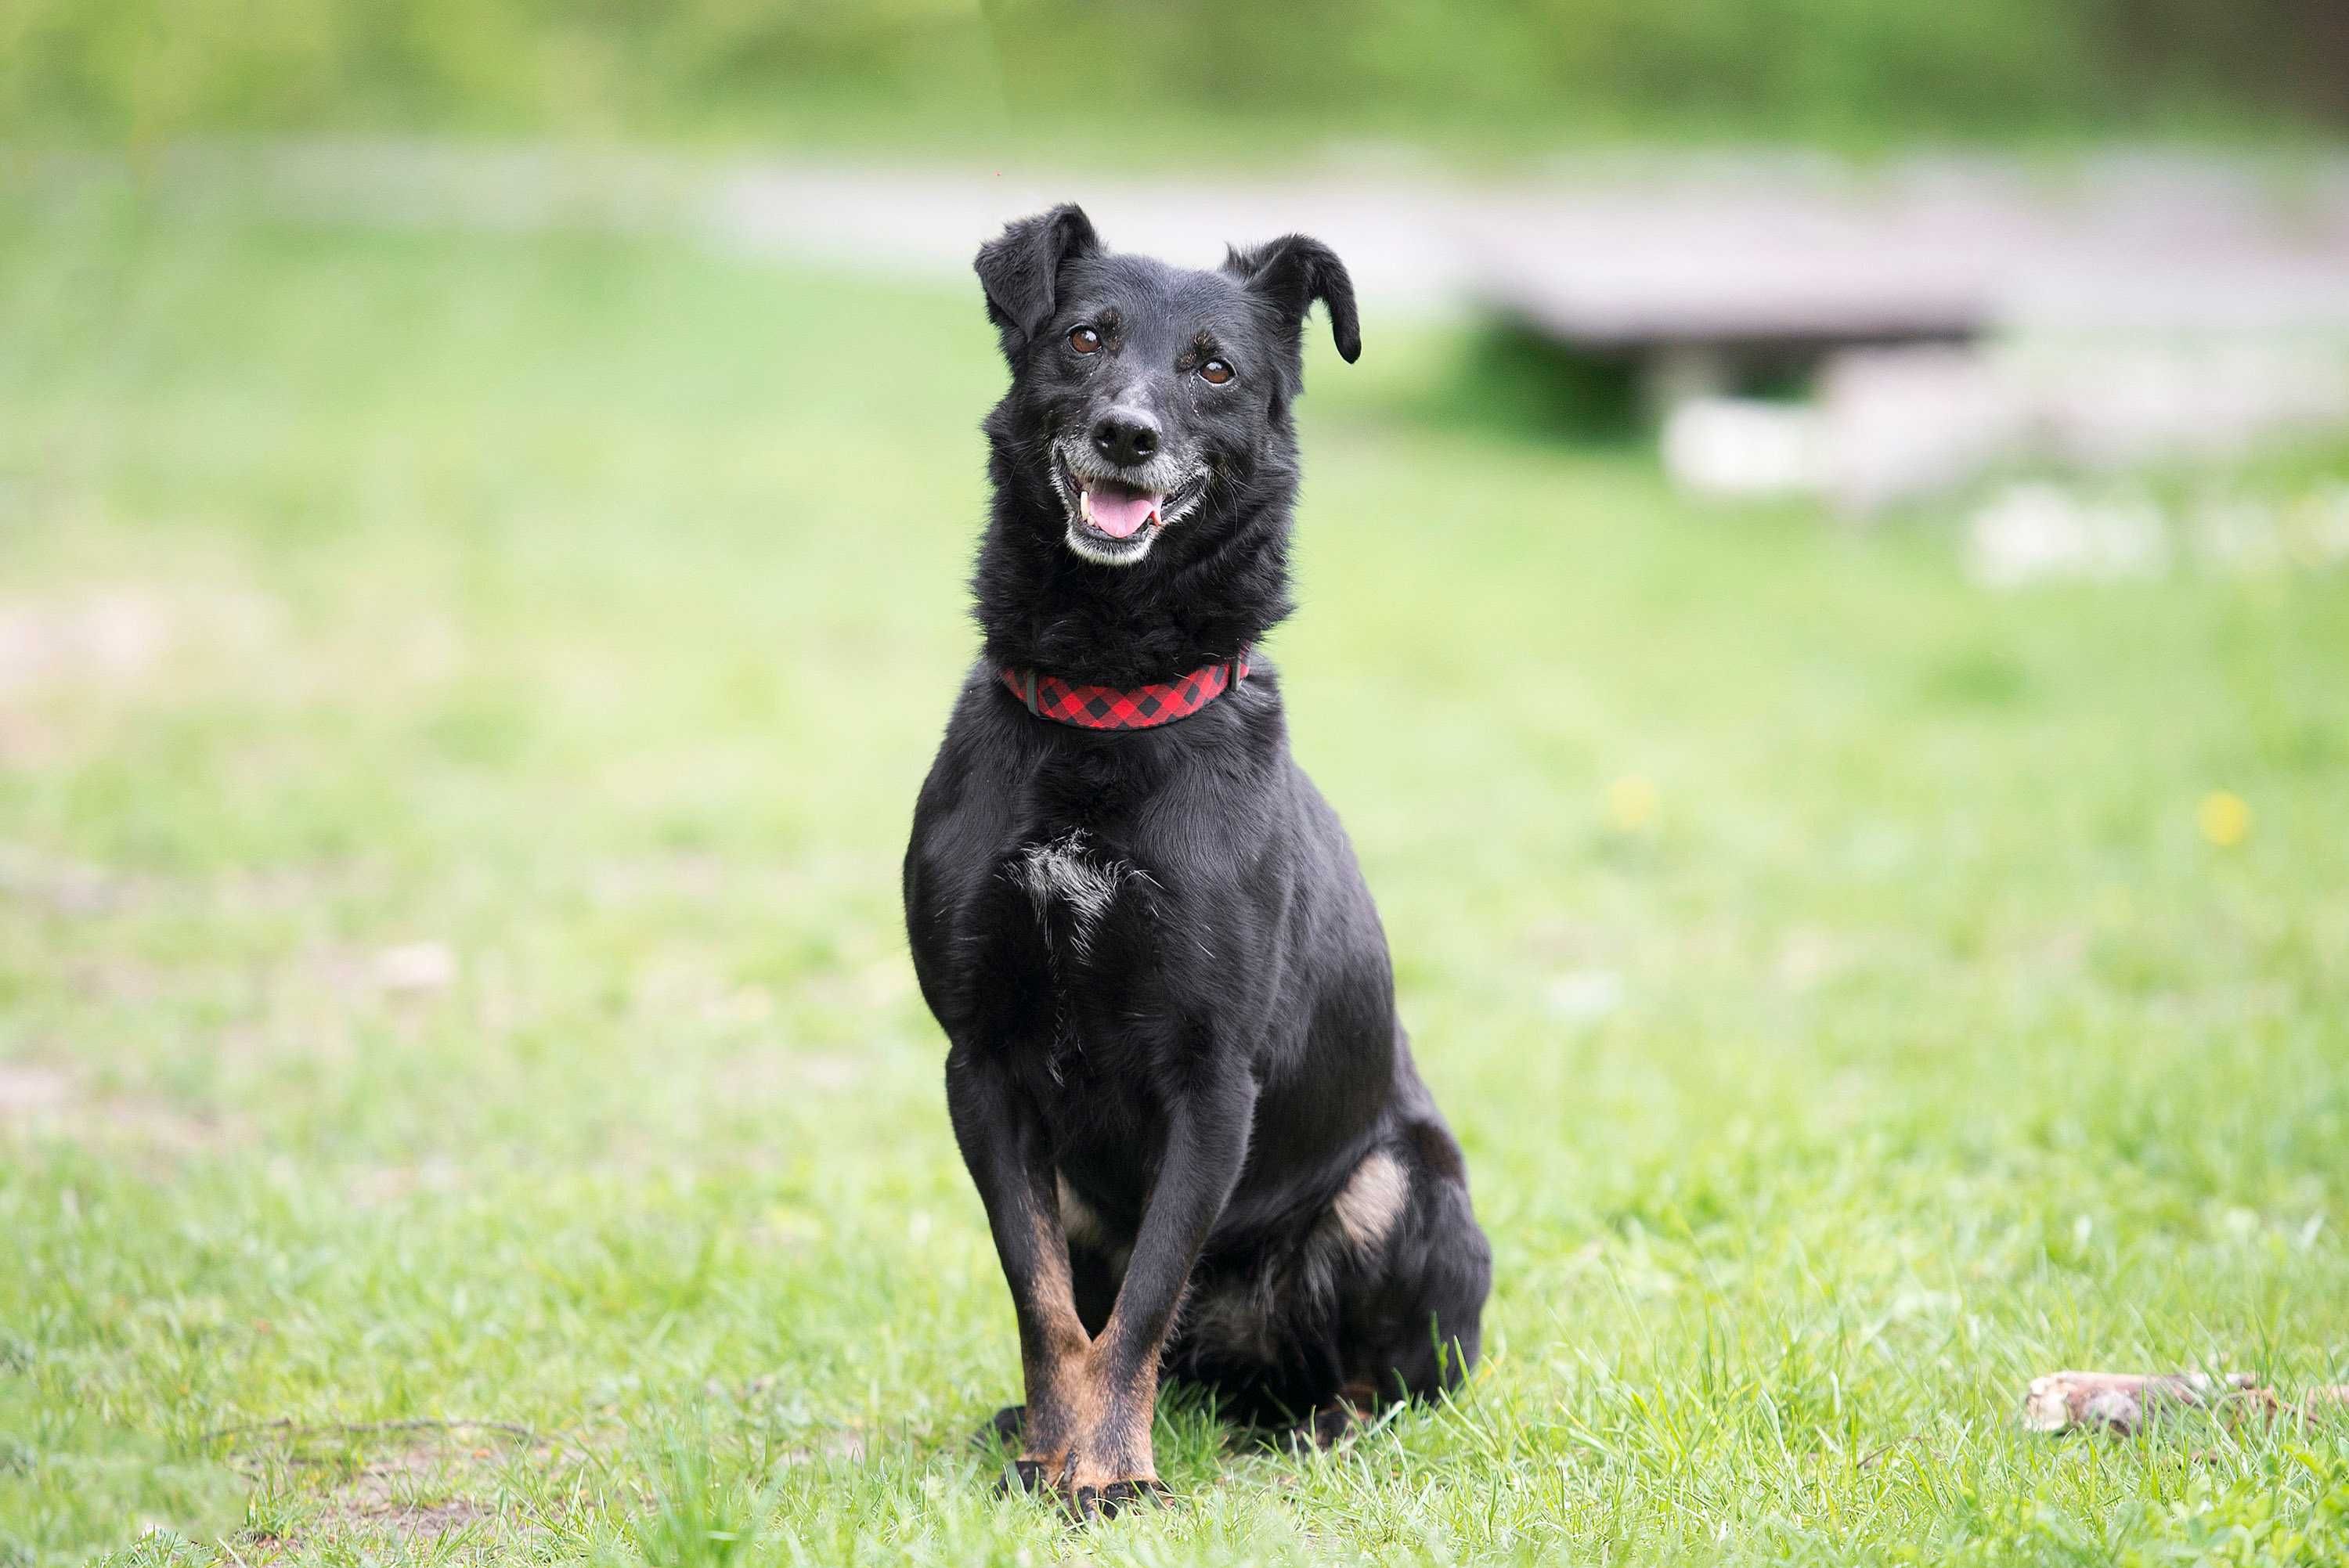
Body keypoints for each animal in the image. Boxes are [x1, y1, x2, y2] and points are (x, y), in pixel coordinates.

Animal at [897, 201, 1485, 1512]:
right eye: (1084, 336)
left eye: (1214, 368)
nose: (1128, 433)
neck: (1108, 708)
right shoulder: (985, 1067)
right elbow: (1049, 1303)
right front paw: (1051, 1453)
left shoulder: (1211, 1082)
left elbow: (1145, 1301)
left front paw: (1110, 1474)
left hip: (1395, 1184)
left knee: (1380, 1380)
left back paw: (1324, 1430)